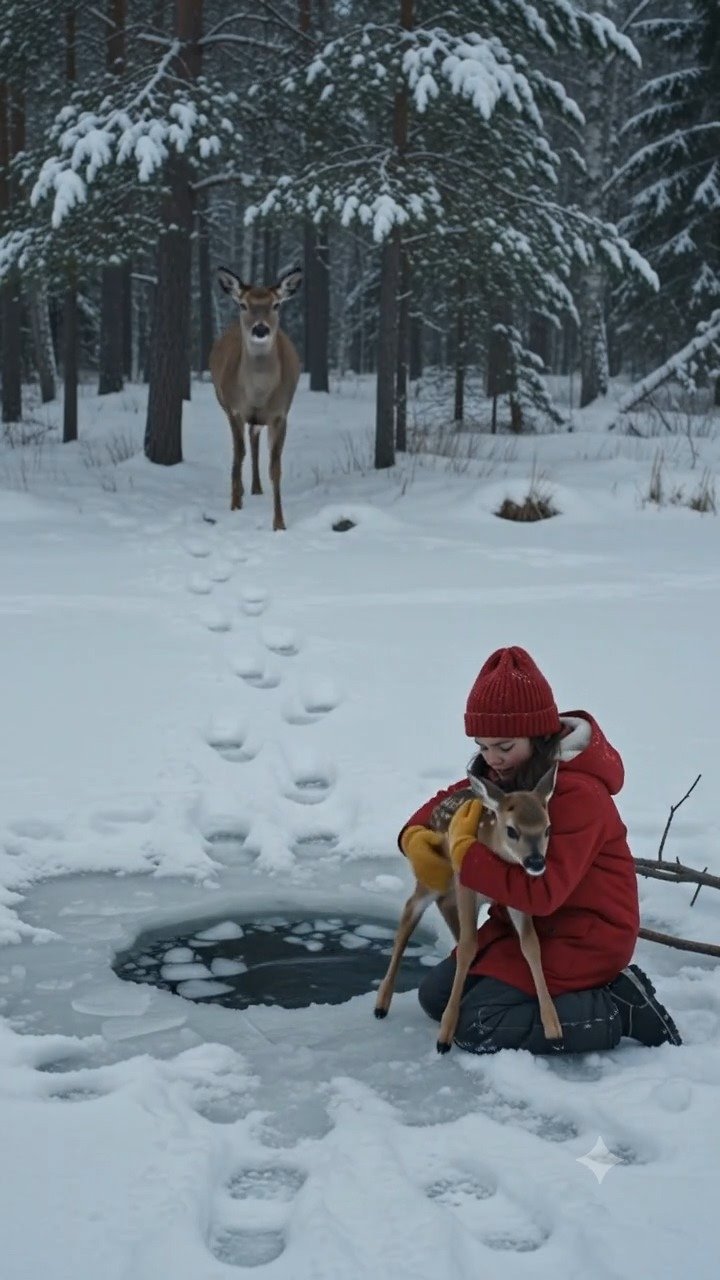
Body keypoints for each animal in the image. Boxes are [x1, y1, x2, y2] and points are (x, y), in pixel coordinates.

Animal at [209, 265, 303, 531]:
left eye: (276, 304)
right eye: (243, 304)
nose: (260, 329)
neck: (257, 395)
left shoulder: (281, 414)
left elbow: (275, 467)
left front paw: (279, 522)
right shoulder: (233, 409)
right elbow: (237, 456)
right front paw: (234, 504)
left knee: (253, 437)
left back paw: (257, 488)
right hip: (224, 403)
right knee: (242, 447)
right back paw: (243, 491)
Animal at [374, 759, 564, 1053]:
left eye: (547, 828)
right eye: (512, 830)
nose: (535, 862)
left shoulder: (516, 896)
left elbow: (531, 945)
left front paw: (553, 1027)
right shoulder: (466, 884)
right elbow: (466, 947)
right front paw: (444, 1036)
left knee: (443, 907)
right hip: (434, 876)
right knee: (410, 910)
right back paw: (381, 1005)